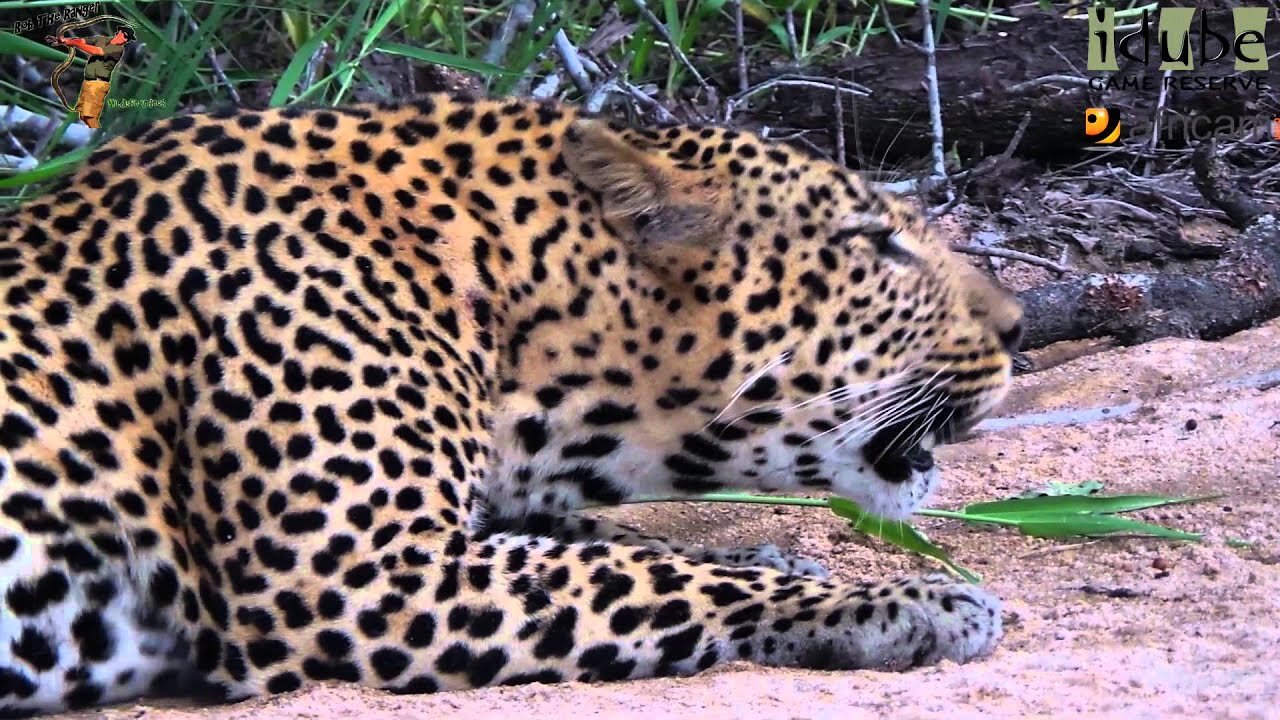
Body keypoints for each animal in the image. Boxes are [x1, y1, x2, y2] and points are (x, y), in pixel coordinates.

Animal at [0, 92, 1018, 712]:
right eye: (876, 243)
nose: (1016, 327)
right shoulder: (355, 577)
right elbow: (648, 577)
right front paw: (906, 600)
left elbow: (618, 542)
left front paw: (781, 555)